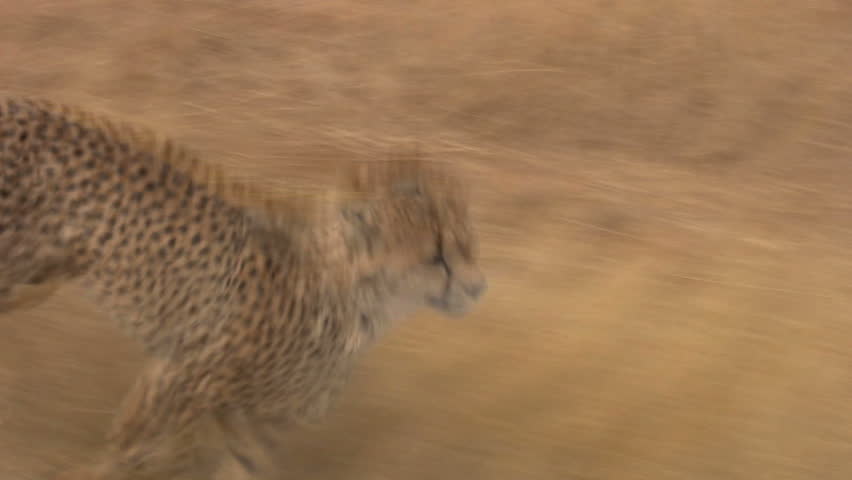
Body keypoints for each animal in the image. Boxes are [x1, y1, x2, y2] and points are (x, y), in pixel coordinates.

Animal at [0, 96, 487, 479]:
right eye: (436, 257)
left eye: (467, 244)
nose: (479, 288)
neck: (348, 295)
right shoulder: (182, 374)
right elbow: (131, 452)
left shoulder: (257, 416)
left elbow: (241, 464)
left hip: (35, 278)